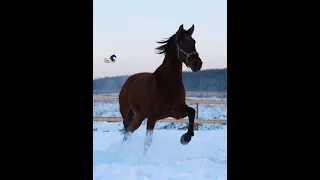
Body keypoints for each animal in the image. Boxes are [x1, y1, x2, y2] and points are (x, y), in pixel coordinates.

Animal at [117, 23, 202, 153]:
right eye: (181, 42)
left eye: (193, 41)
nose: (197, 64)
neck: (168, 84)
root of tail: (128, 81)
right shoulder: (152, 117)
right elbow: (147, 142)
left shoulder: (177, 112)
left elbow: (192, 112)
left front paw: (185, 138)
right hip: (126, 112)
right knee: (127, 132)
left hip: (140, 116)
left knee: (129, 132)